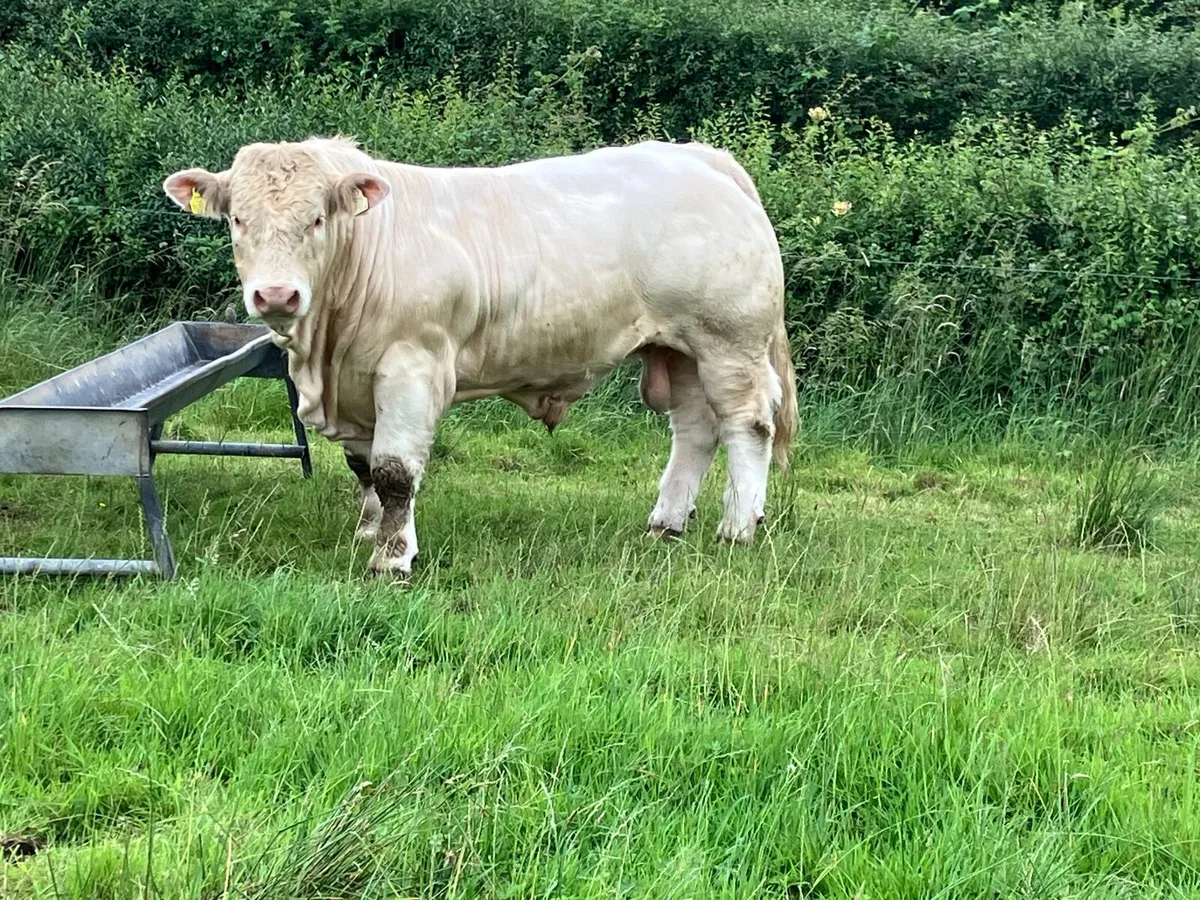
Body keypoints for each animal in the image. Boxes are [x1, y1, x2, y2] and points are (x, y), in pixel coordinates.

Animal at [163, 137, 797, 577]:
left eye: (316, 219)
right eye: (237, 219)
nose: (276, 295)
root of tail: (700, 157)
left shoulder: (412, 367)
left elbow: (394, 472)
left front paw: (392, 559)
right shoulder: (359, 382)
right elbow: (364, 466)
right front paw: (369, 532)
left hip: (729, 342)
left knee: (748, 425)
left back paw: (736, 528)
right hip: (678, 348)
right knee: (694, 430)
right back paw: (666, 525)